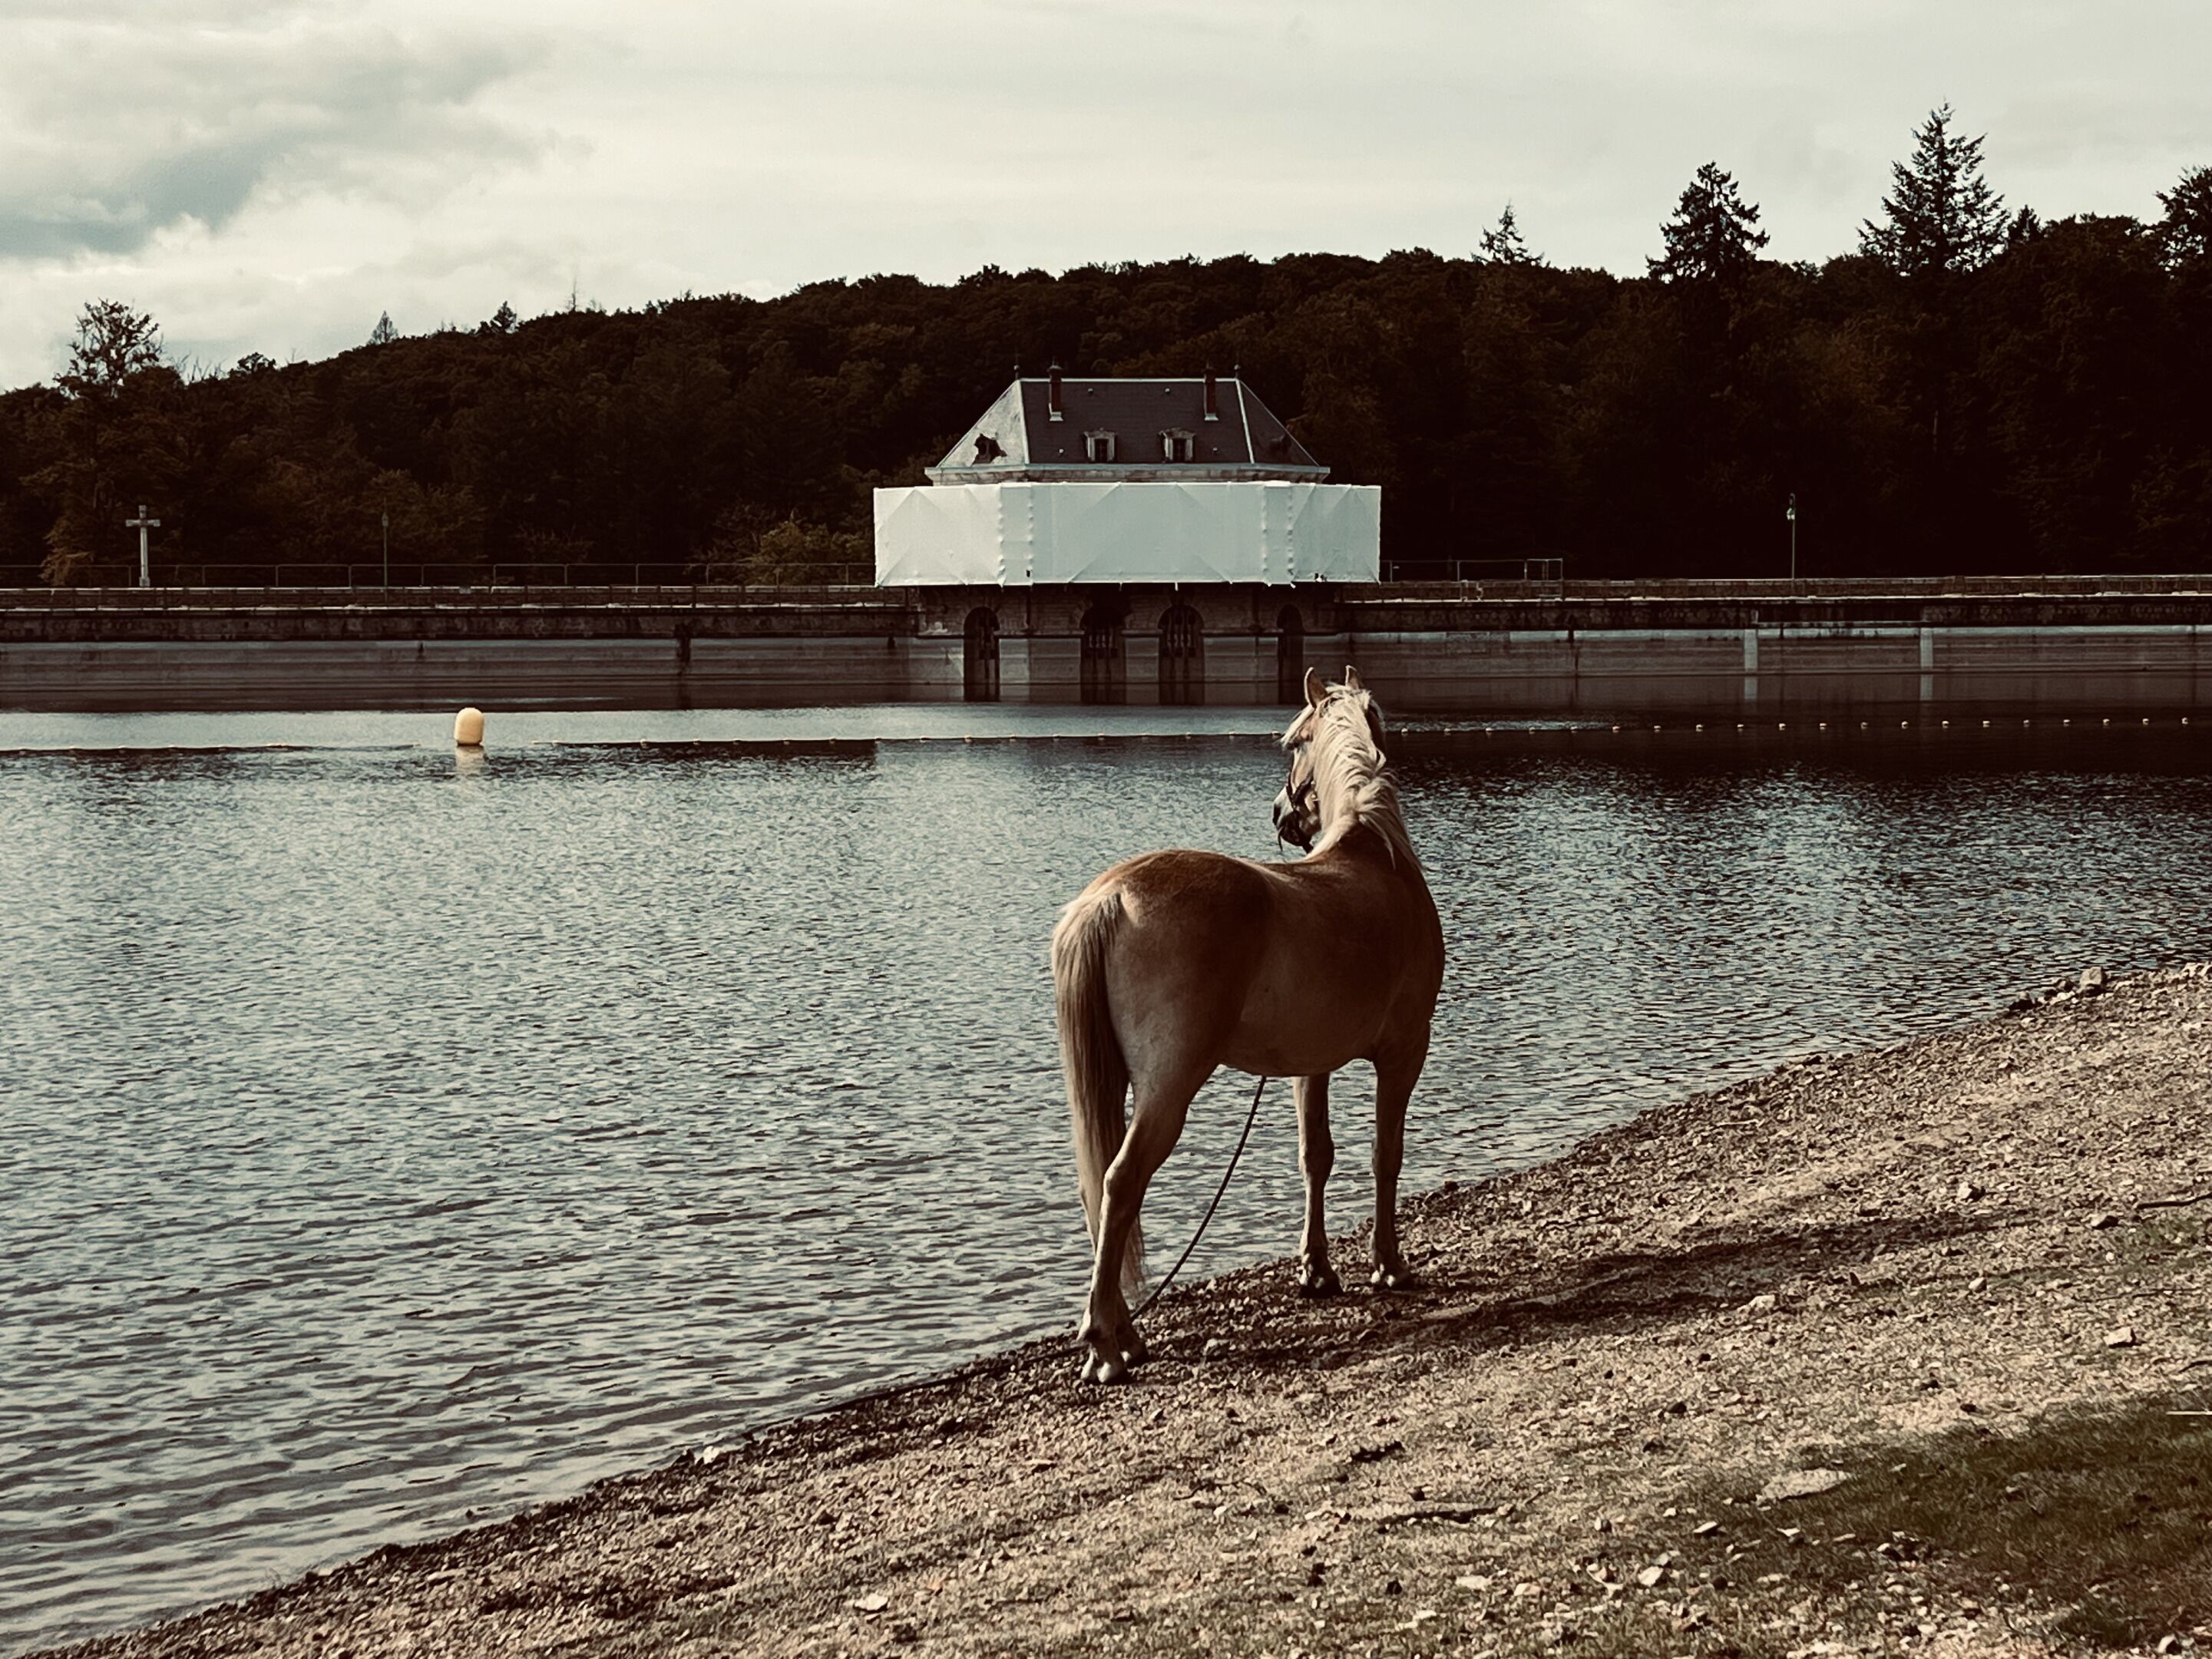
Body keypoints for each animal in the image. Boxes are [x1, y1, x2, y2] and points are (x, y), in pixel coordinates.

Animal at [1049, 665, 1446, 1384]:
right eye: (1294, 742)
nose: (1281, 814)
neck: (1377, 857)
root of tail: (1109, 899)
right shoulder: (1405, 1050)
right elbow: (1386, 1154)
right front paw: (1389, 1265)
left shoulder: (1309, 1066)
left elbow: (1316, 1156)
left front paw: (1317, 1270)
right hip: (1168, 1089)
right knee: (1120, 1182)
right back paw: (1106, 1346)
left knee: (1103, 1189)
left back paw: (1125, 1333)